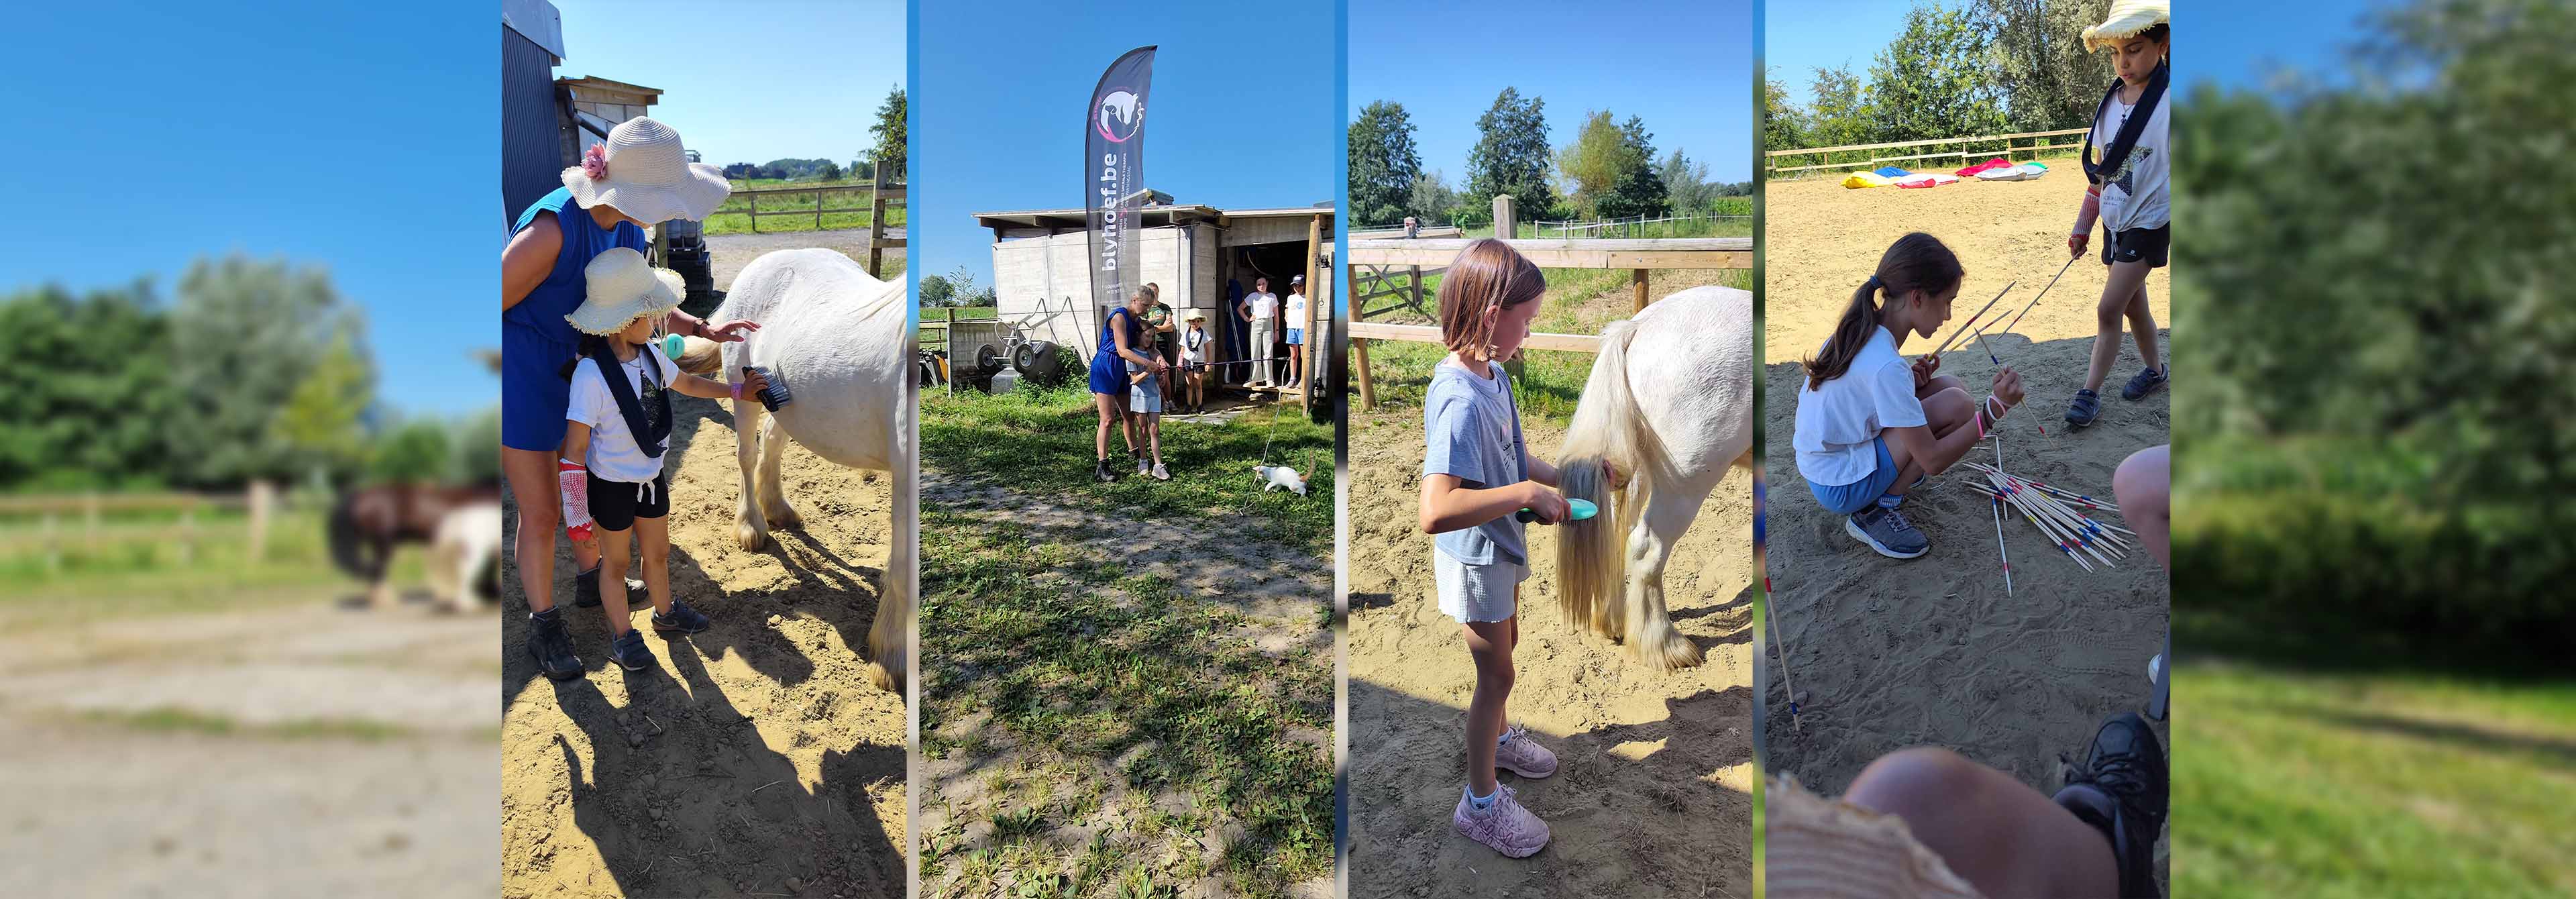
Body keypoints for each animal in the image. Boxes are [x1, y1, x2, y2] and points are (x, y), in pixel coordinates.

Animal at [680, 248, 922, 690]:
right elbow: (902, 572)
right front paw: (892, 657)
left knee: (772, 443)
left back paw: (778, 509)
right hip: (743, 394)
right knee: (746, 456)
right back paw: (753, 526)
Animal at [1546, 283, 1752, 670]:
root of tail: (1639, 327)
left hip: (1637, 472)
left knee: (1614, 532)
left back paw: (1614, 622)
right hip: (1685, 485)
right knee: (1647, 548)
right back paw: (1664, 644)